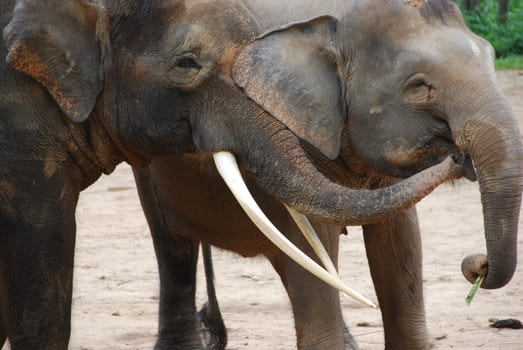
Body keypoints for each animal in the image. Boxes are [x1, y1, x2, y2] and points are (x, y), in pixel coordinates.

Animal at [133, 0, 523, 350]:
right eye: (419, 85)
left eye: (491, 59)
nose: (478, 264)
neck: (335, 23)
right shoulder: (283, 129)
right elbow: (312, 241)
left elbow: (400, 242)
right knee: (173, 250)